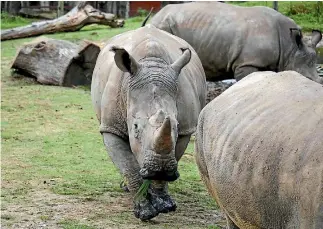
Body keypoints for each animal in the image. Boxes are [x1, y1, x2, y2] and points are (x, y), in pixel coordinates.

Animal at [91, 24, 208, 220]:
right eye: (135, 127)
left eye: (176, 126)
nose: (158, 168)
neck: (152, 64)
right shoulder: (111, 127)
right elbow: (128, 166)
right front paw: (145, 211)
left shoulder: (185, 129)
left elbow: (172, 153)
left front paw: (164, 205)